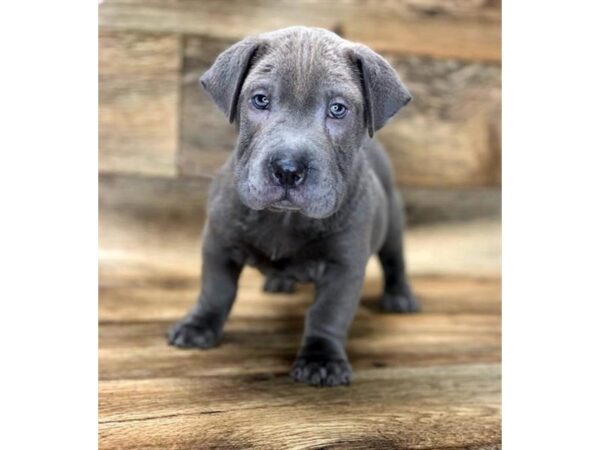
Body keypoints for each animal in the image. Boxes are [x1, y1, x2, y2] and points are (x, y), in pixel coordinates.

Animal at [169, 26, 420, 386]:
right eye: (260, 100)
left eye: (338, 109)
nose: (288, 169)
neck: (284, 219)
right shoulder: (218, 242)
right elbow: (215, 290)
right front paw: (198, 325)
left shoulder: (344, 265)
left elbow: (328, 312)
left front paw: (321, 359)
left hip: (394, 225)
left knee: (394, 260)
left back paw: (399, 296)